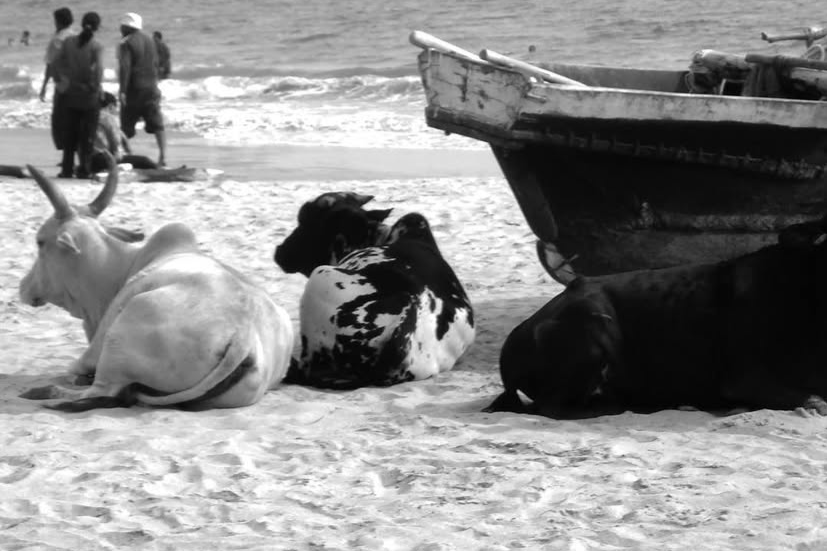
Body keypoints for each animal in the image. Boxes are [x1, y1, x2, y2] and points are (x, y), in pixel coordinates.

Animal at [18, 156, 294, 412]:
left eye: (40, 241)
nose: (23, 287)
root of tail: (242, 337)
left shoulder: (91, 352)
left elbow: (75, 369)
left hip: (119, 338)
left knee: (101, 392)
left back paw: (44, 393)